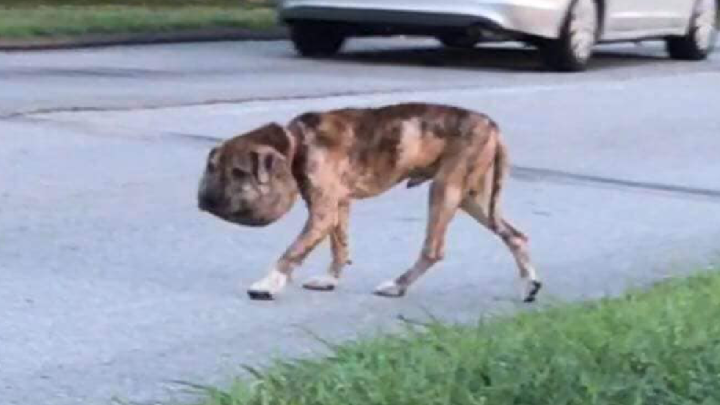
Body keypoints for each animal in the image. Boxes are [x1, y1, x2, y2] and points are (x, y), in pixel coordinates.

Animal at [197, 102, 540, 302]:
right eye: (213, 168)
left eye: (239, 172)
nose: (205, 199)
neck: (297, 143)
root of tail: (491, 125)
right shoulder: (337, 207)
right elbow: (339, 246)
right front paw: (330, 279)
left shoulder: (322, 212)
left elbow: (293, 251)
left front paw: (269, 282)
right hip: (473, 200)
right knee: (516, 236)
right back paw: (529, 284)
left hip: (445, 190)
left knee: (433, 249)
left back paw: (398, 285)